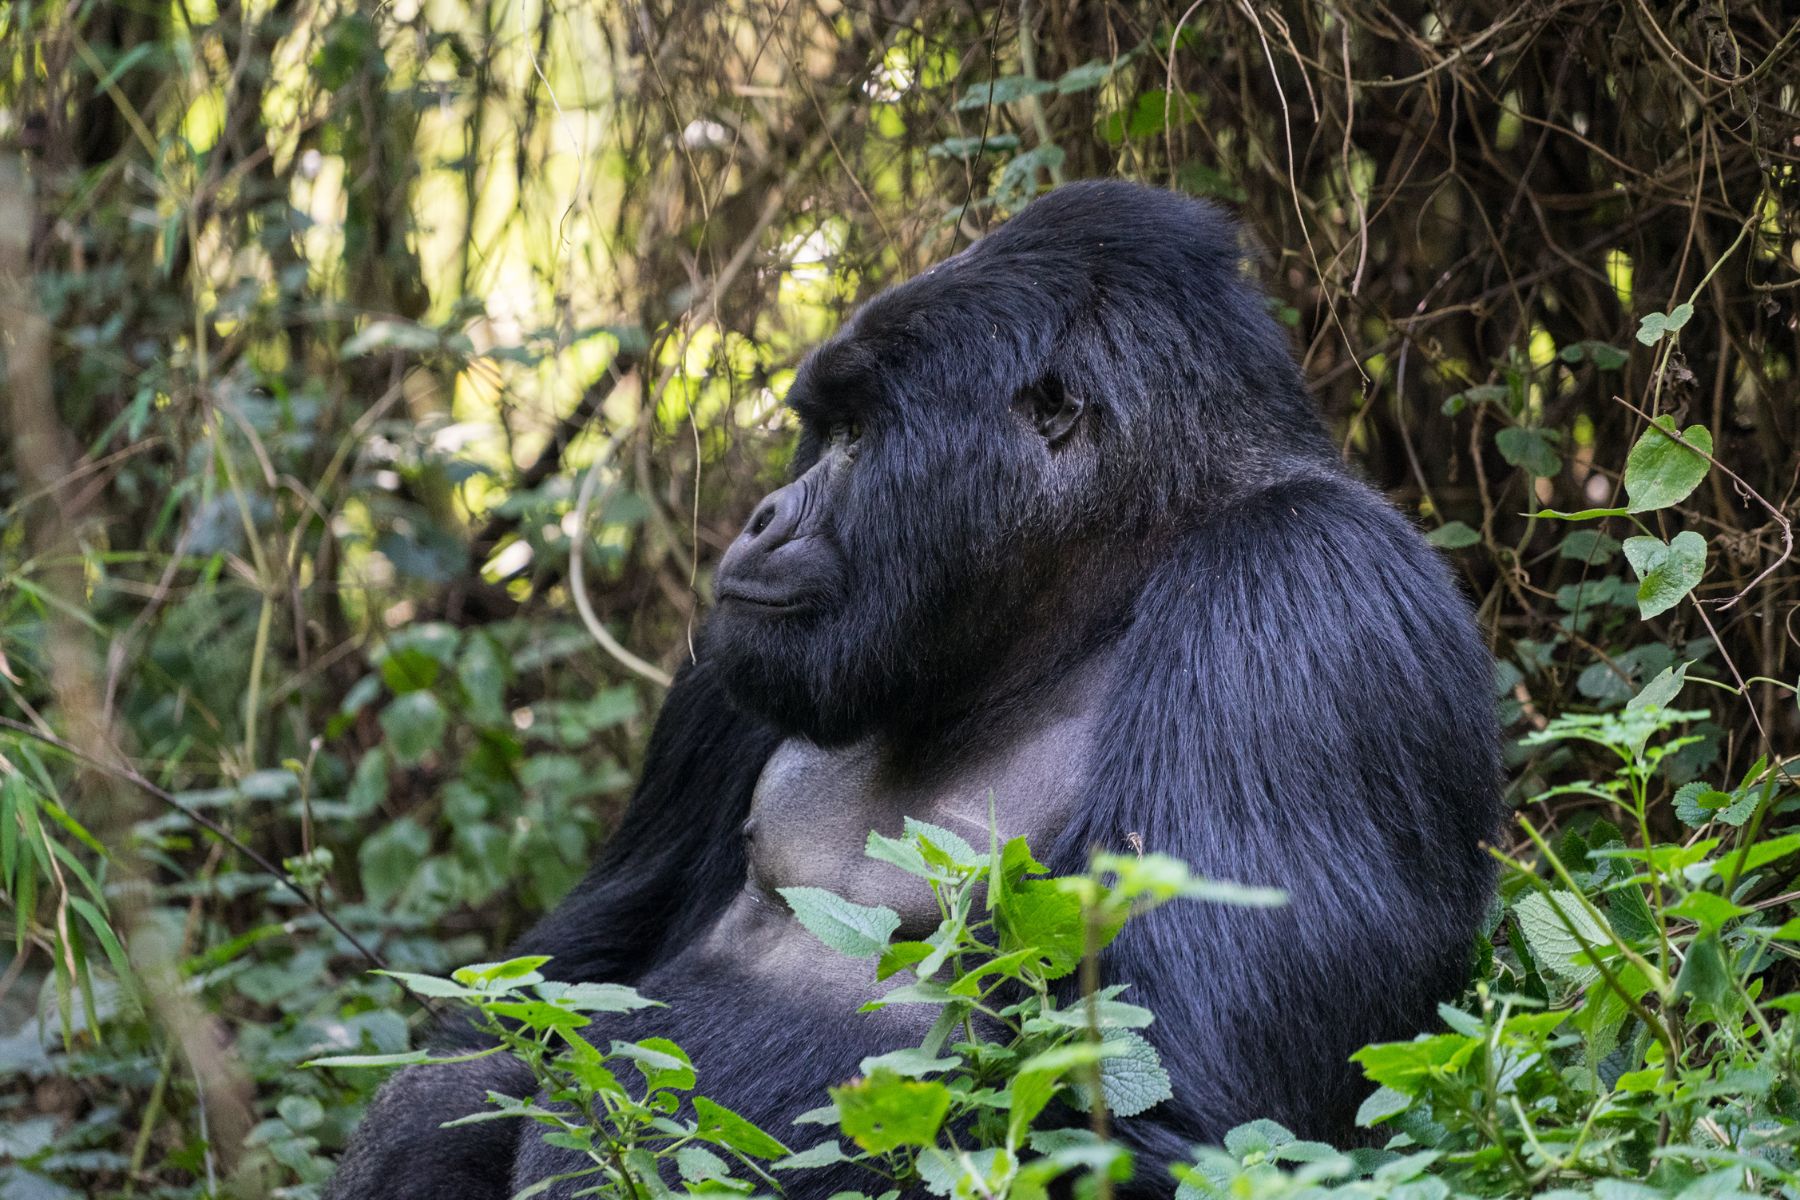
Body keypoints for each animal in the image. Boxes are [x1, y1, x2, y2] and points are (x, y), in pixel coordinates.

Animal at [327, 180, 1504, 1200]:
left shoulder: (1302, 589)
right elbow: (539, 1003)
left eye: (856, 436)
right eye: (823, 426)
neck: (1105, 579)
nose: (759, 518)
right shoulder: (731, 663)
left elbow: (1170, 1113)